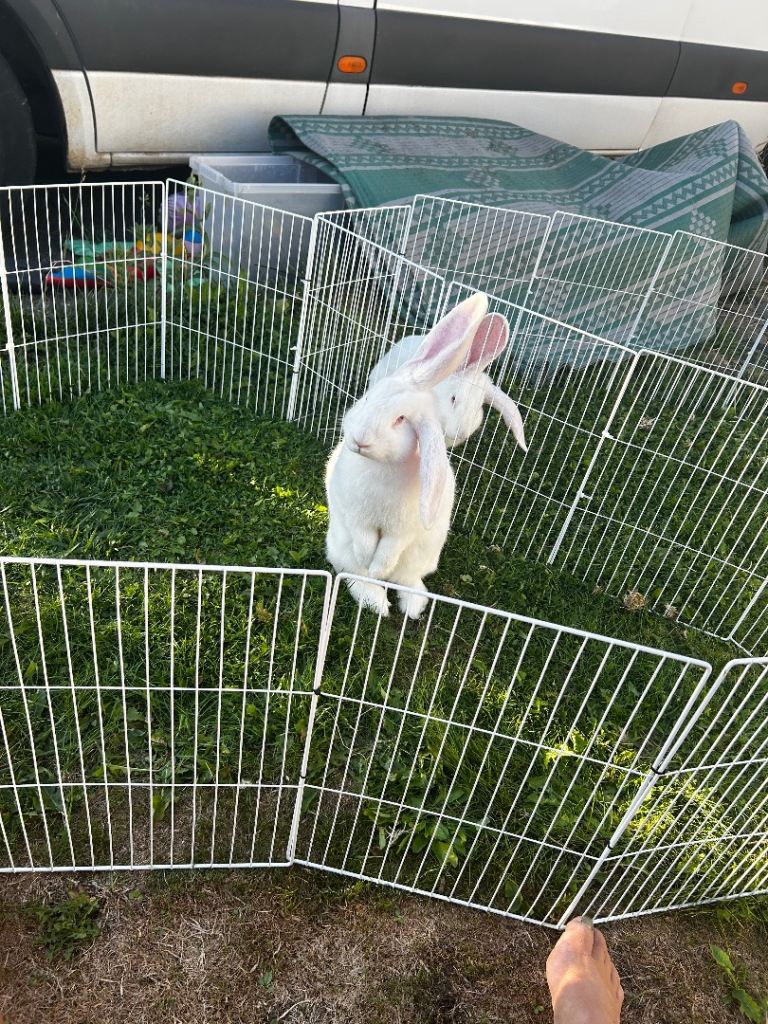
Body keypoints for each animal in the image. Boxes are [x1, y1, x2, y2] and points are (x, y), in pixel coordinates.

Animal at [325, 292, 489, 620]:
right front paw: (370, 564)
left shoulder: (401, 532)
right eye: (366, 397)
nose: (359, 440)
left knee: (407, 580)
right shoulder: (358, 517)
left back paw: (413, 605)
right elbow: (364, 541)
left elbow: (389, 550)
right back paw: (375, 599)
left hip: (422, 557)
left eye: (401, 419)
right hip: (340, 551)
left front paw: (378, 567)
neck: (381, 467)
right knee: (354, 576)